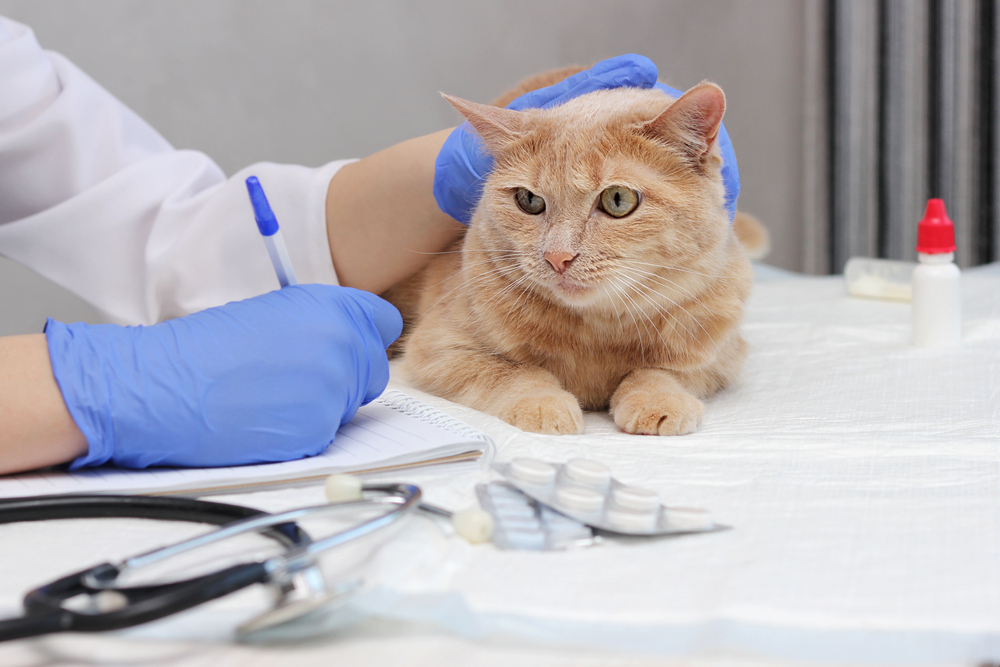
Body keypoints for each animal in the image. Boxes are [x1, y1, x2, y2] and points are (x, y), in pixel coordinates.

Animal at [388, 74, 752, 438]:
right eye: (529, 200)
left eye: (617, 199)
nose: (557, 257)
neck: (598, 331)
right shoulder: (437, 348)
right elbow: (512, 371)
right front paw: (542, 403)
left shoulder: (720, 356)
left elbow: (660, 371)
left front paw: (657, 397)